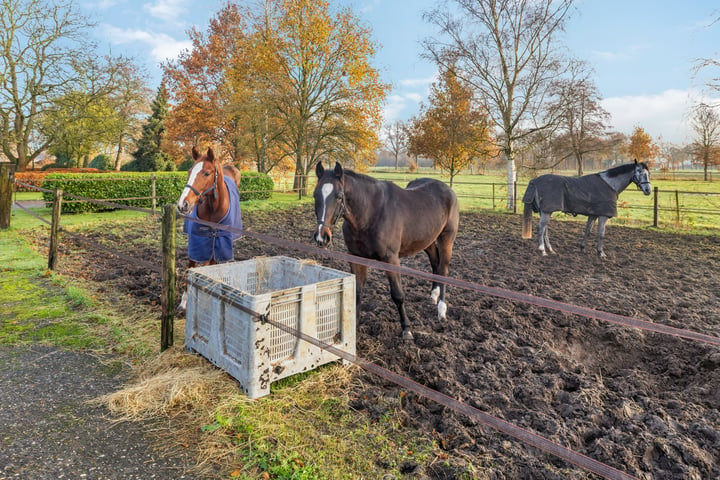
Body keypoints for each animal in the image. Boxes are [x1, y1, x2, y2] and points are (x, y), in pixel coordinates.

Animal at [312, 163, 458, 340]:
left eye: (339, 196)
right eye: (315, 195)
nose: (322, 237)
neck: (370, 214)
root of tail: (448, 190)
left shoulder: (391, 259)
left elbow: (398, 295)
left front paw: (406, 329)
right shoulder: (356, 257)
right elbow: (357, 291)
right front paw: (355, 326)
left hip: (446, 239)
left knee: (443, 269)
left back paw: (441, 309)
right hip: (427, 240)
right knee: (435, 264)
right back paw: (433, 296)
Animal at [520, 160, 648, 258]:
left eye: (648, 173)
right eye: (639, 172)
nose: (648, 190)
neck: (610, 184)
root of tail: (535, 181)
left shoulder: (593, 215)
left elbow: (588, 231)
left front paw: (582, 248)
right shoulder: (603, 216)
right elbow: (601, 233)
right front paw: (601, 253)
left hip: (545, 211)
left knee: (545, 230)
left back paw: (550, 250)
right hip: (547, 211)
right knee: (541, 228)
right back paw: (543, 251)